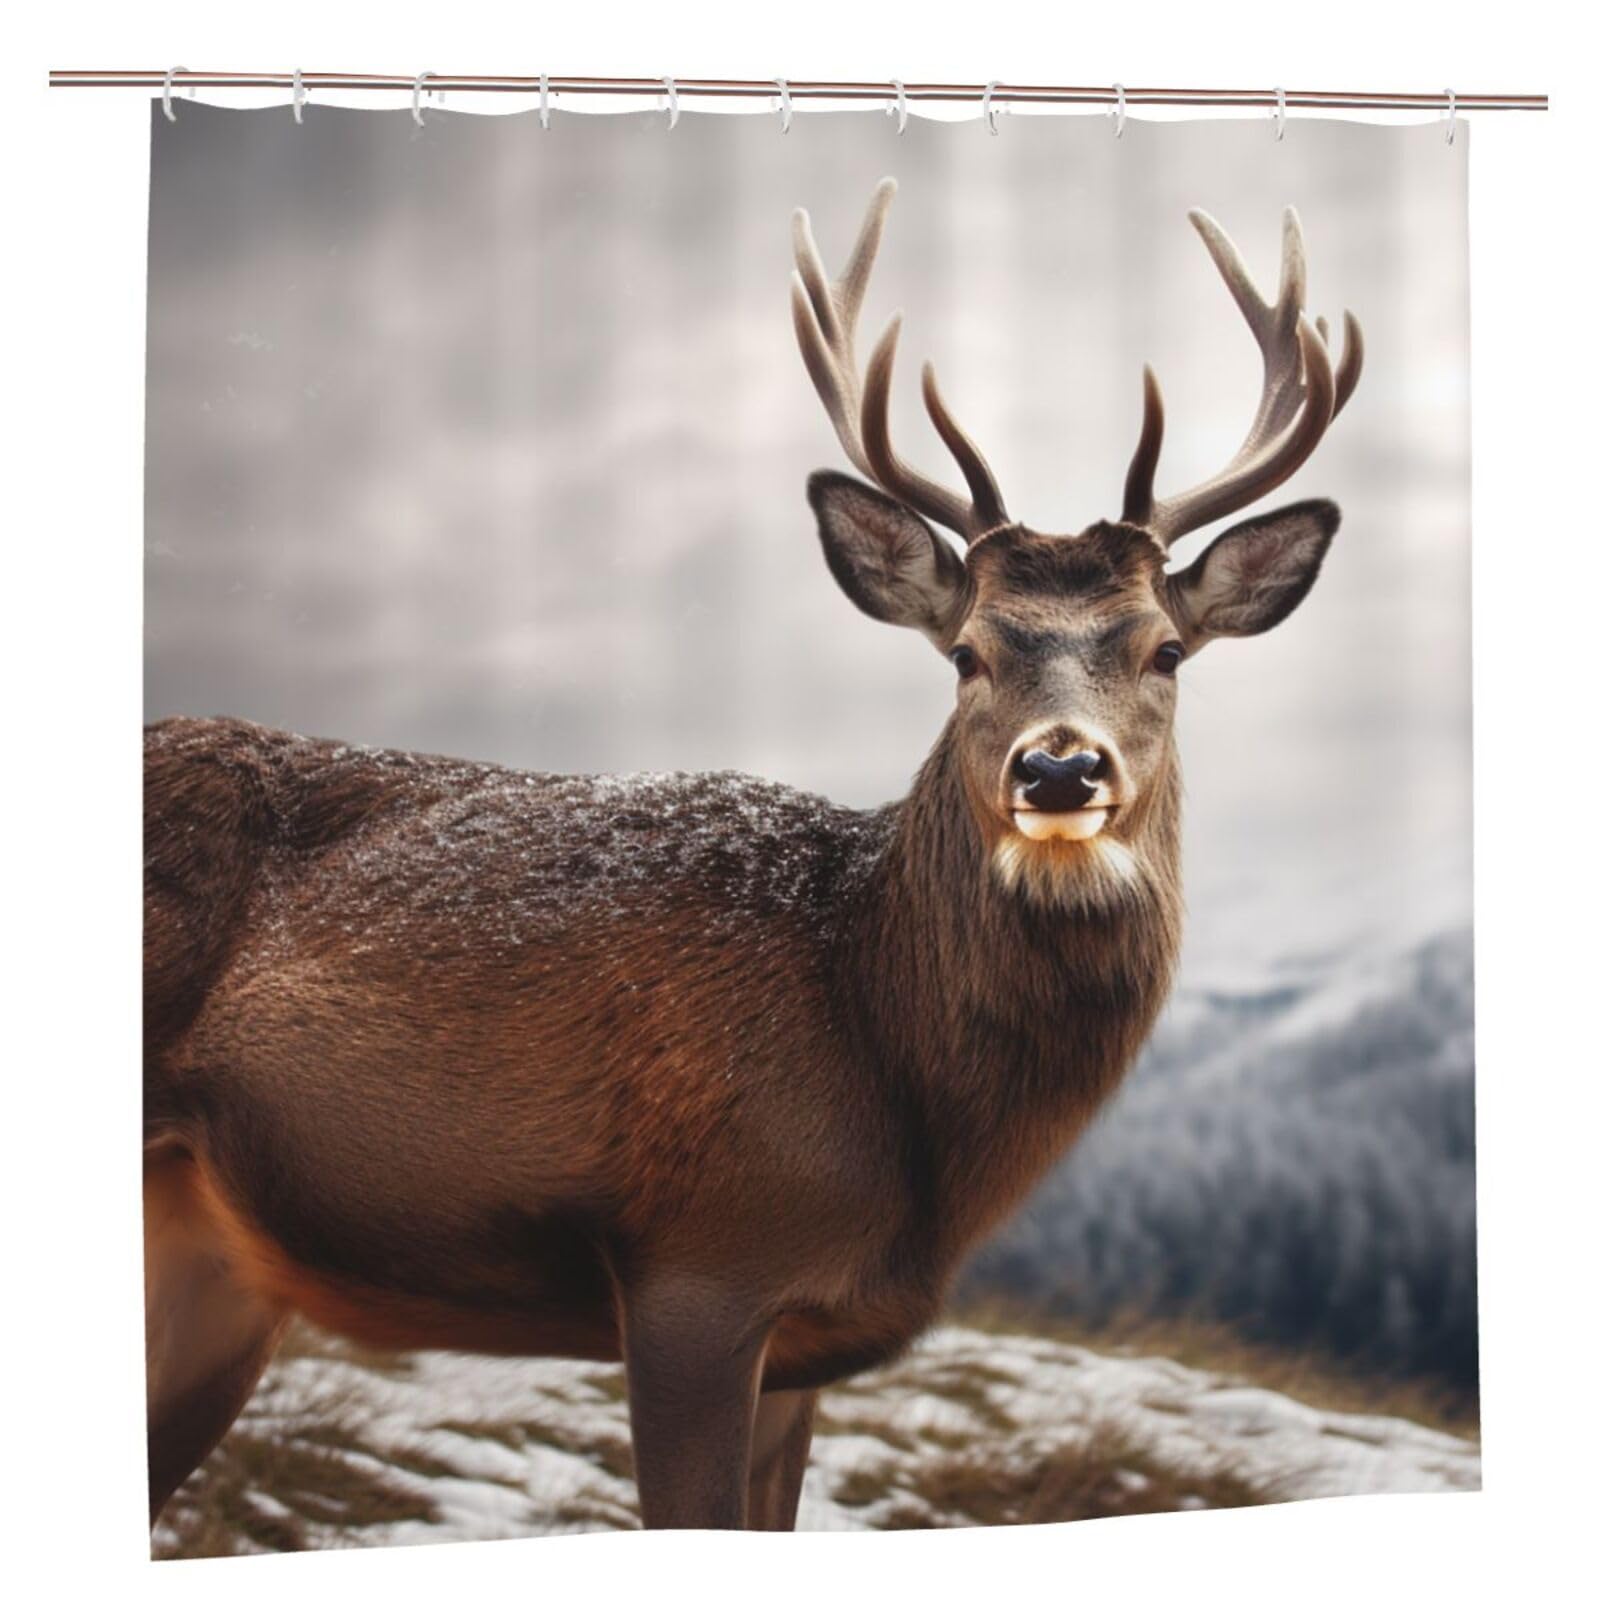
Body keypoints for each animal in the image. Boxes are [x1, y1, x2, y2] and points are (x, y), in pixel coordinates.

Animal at [143, 176, 1362, 1533]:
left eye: (1165, 649)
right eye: (966, 651)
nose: (1057, 771)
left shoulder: (806, 1341)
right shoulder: (700, 1261)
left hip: (211, 1257)